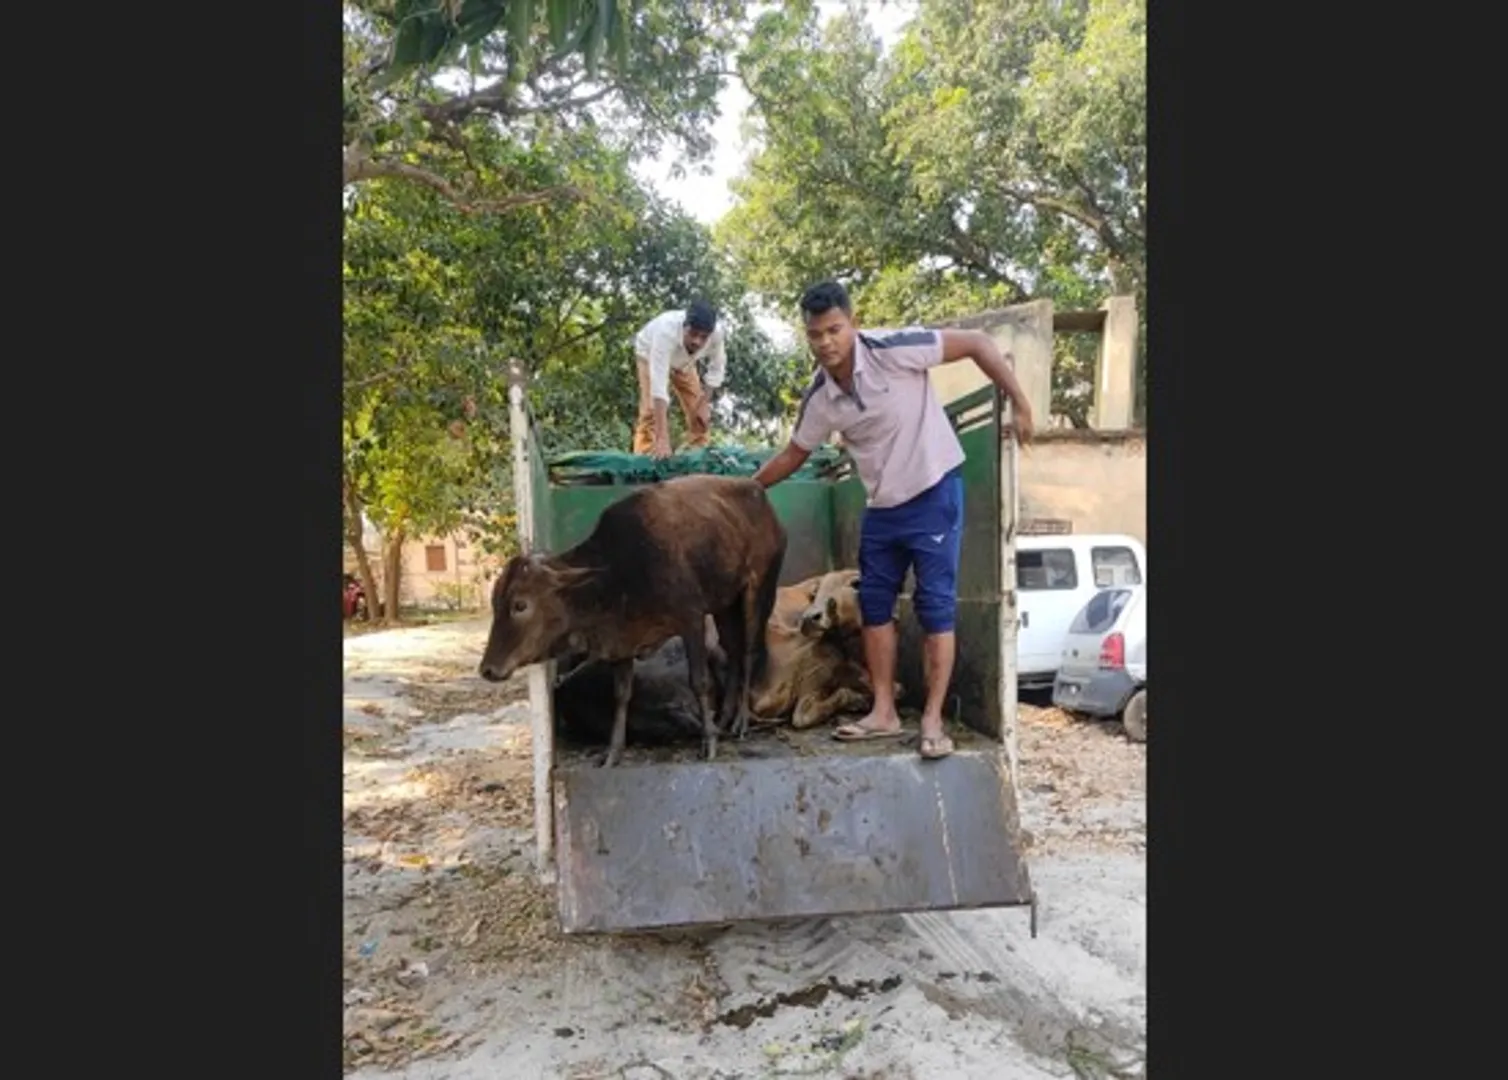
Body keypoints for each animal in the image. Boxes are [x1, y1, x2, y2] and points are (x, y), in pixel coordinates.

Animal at [478, 474, 787, 767]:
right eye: (494, 602)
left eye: (520, 605)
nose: (488, 670)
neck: (618, 573)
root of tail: (762, 498)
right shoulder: (624, 642)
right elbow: (621, 695)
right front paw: (613, 753)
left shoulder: (692, 619)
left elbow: (699, 681)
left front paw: (709, 742)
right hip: (725, 605)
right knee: (733, 653)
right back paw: (725, 717)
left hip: (758, 590)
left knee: (748, 652)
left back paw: (741, 721)